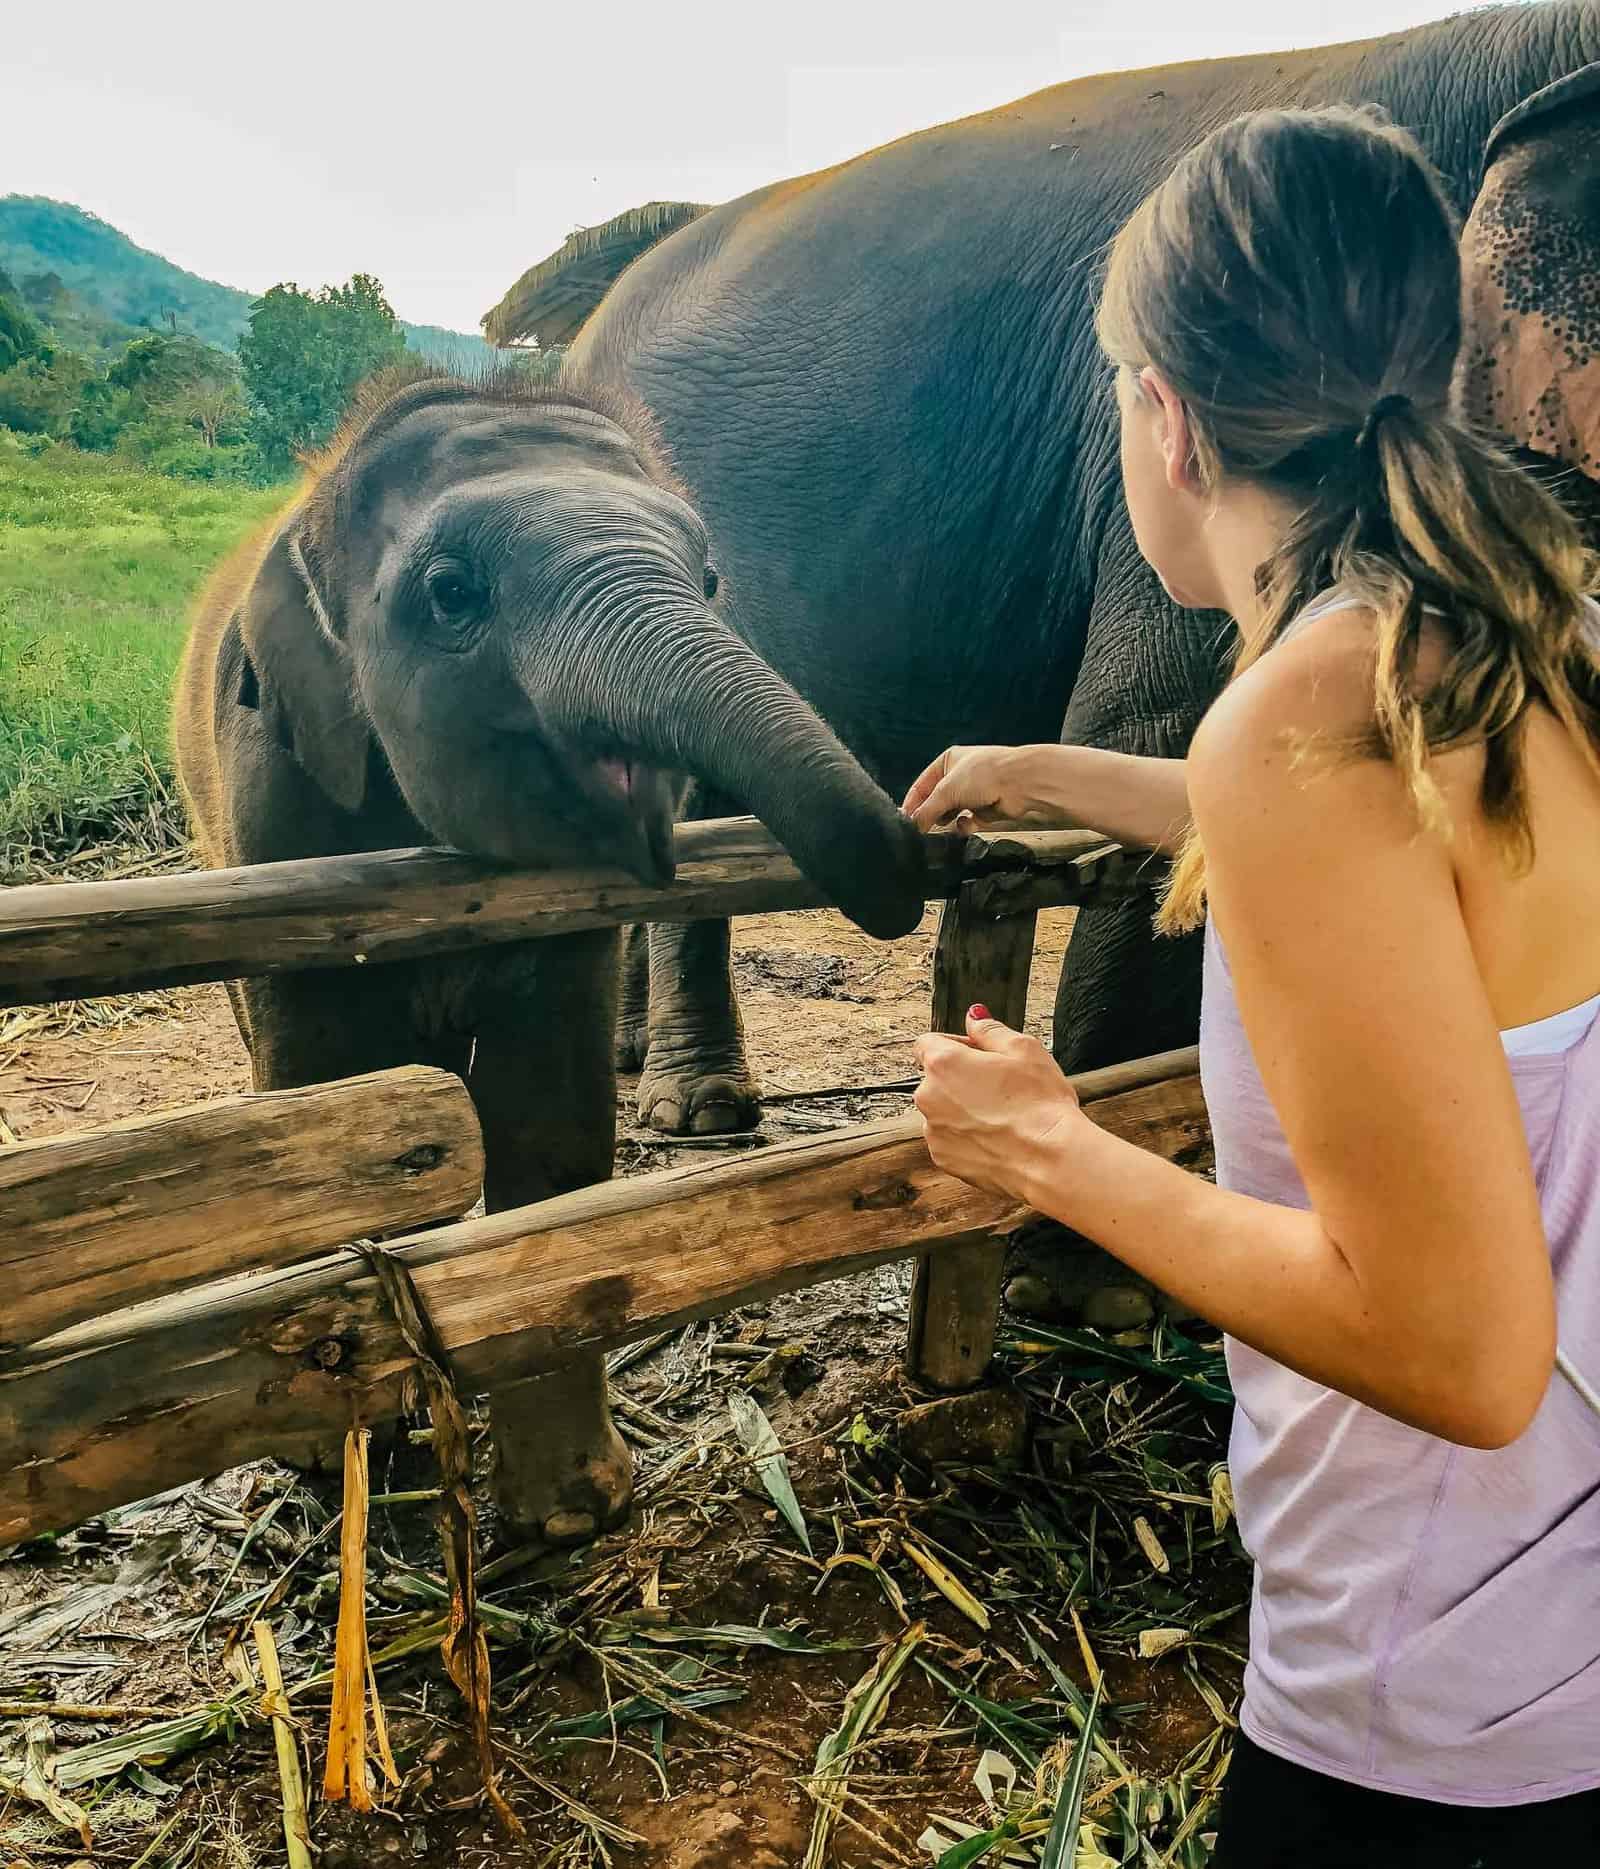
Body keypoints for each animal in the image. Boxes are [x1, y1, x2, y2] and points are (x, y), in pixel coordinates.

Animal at [171, 368, 923, 1547]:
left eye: (711, 579)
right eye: (450, 593)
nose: (931, 846)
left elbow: (553, 1132)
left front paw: (576, 1513)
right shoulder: (272, 817)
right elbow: (316, 1106)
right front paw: (334, 1460)